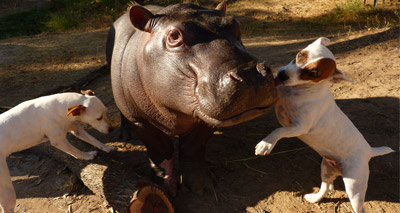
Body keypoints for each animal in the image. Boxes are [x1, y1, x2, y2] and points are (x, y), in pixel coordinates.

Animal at [256, 37, 394, 213]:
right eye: (300, 54)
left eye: (313, 73)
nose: (282, 75)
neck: (299, 90)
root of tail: (369, 151)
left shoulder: (300, 126)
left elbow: (278, 130)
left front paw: (265, 145)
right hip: (327, 169)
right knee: (326, 187)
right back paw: (314, 198)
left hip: (354, 186)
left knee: (359, 207)